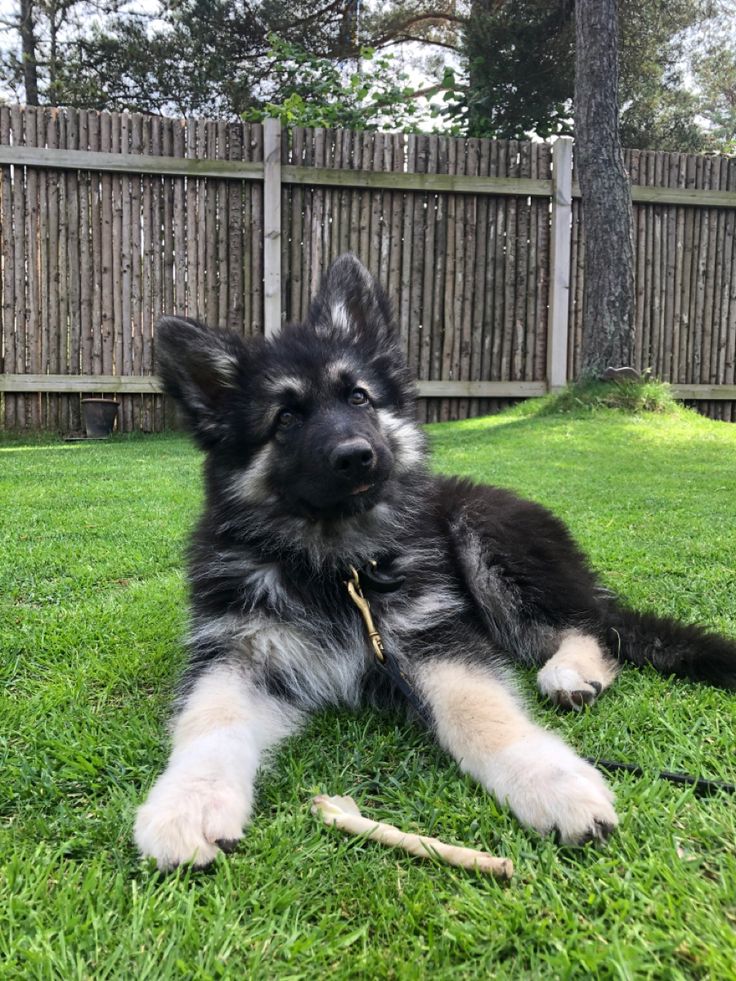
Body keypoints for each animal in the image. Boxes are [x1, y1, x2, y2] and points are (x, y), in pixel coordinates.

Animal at [134, 251, 736, 864]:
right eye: (285, 418)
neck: (338, 566)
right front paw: (189, 802)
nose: (357, 457)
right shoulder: (239, 651)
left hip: (484, 535)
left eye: (358, 397)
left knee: (588, 626)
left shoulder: (434, 639)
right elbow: (210, 719)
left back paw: (570, 671)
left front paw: (549, 780)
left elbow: (481, 712)